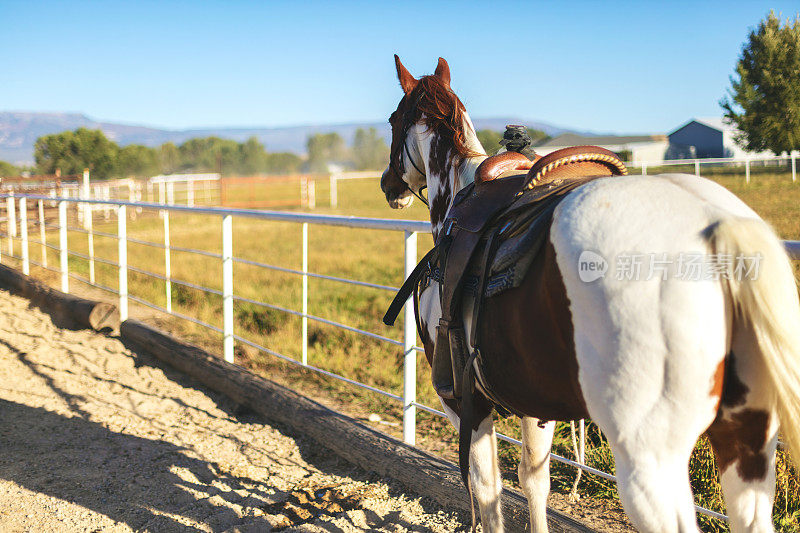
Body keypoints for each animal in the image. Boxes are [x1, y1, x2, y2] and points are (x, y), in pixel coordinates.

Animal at [378, 54, 800, 532]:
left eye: (392, 119)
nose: (388, 184)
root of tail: (716, 226)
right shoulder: (535, 403)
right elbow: (533, 482)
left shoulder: (464, 400)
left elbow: (487, 491)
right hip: (747, 441)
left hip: (648, 462)